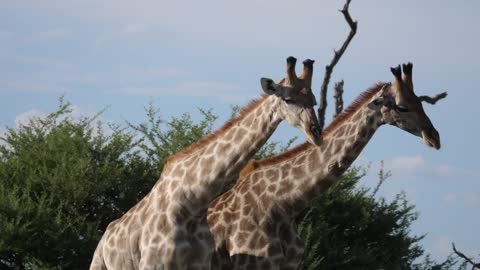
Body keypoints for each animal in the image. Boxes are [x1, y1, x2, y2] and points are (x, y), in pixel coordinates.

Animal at [89, 57, 322, 270]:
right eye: (288, 99)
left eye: (314, 101)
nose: (316, 133)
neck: (193, 203)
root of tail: (105, 237)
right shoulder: (154, 263)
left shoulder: (200, 263)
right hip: (99, 264)